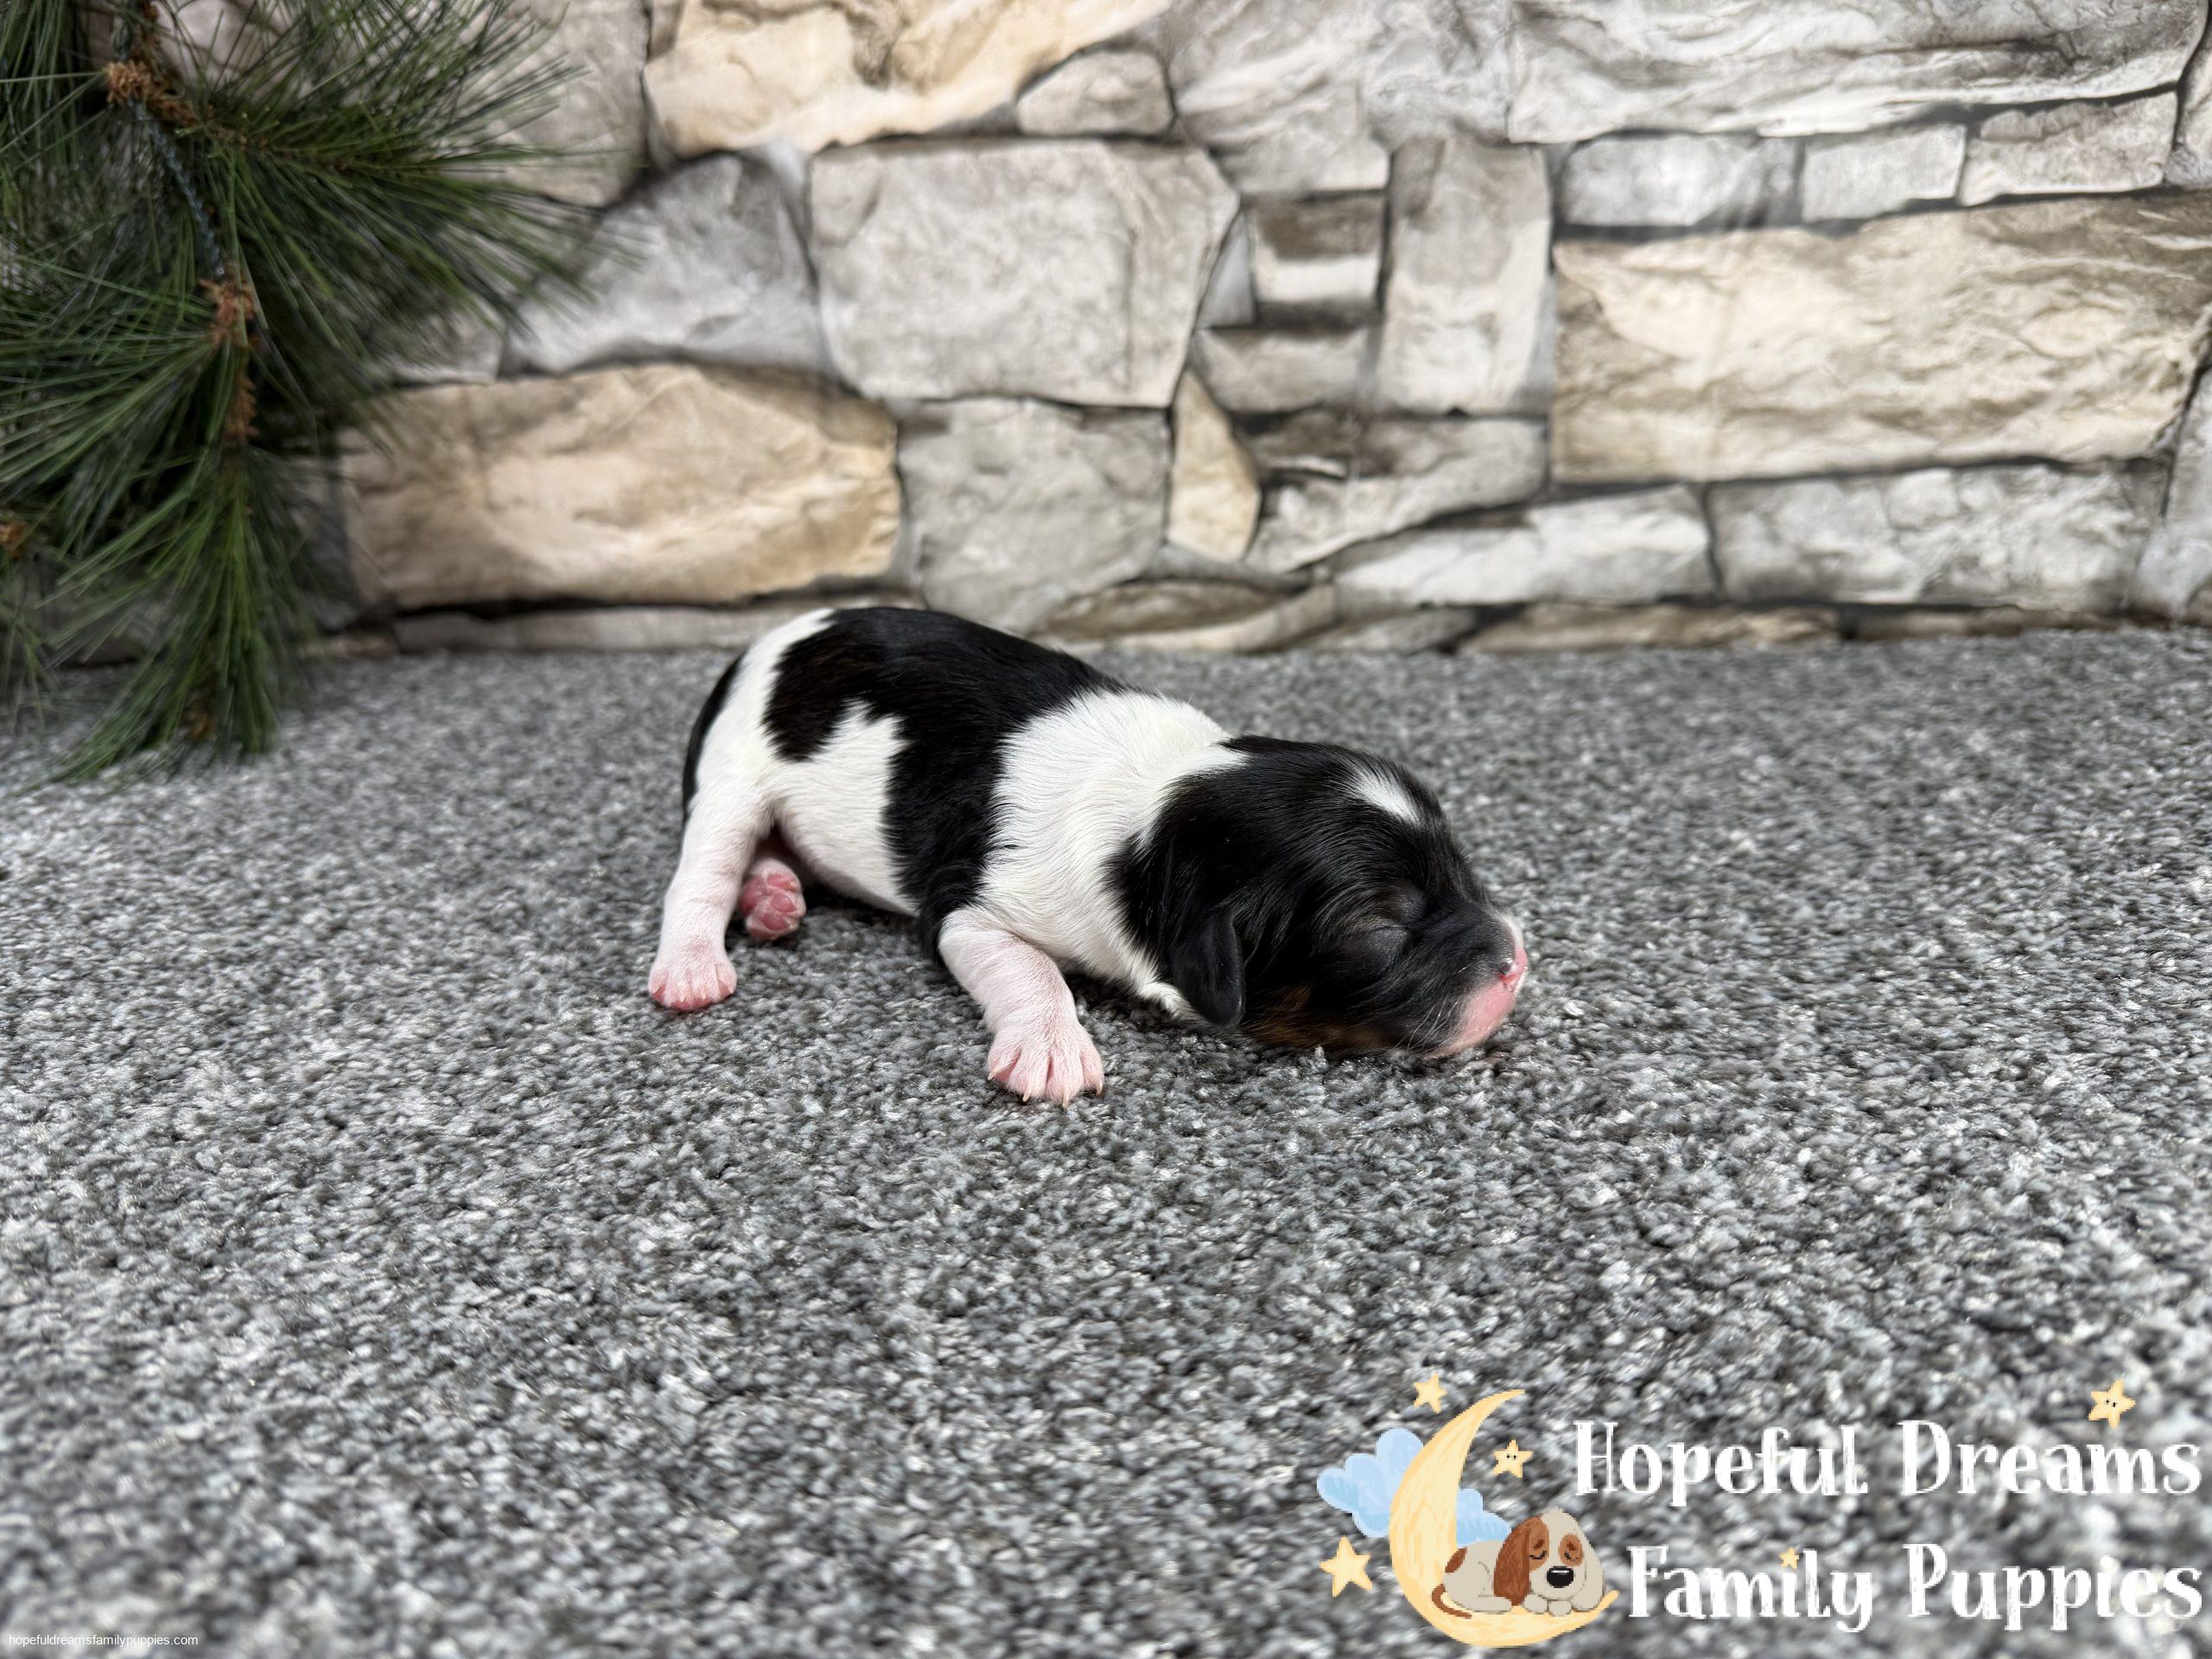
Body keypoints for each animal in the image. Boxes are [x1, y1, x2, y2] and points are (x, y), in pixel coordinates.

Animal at [649, 607, 1527, 1101]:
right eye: (1381, 928)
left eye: (1462, 871)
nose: (1517, 961)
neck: (1154, 822)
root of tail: (766, 640)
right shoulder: (968, 907)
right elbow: (1028, 965)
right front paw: (1051, 1050)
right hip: (732, 773)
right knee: (701, 872)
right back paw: (695, 965)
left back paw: (772, 899)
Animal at [1435, 1510, 1605, 1618]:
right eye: (1537, 1554)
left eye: (1571, 1554)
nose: (1560, 1575)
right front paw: (1538, 1602)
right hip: (1477, 1570)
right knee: (1466, 1598)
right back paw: (1498, 1603)